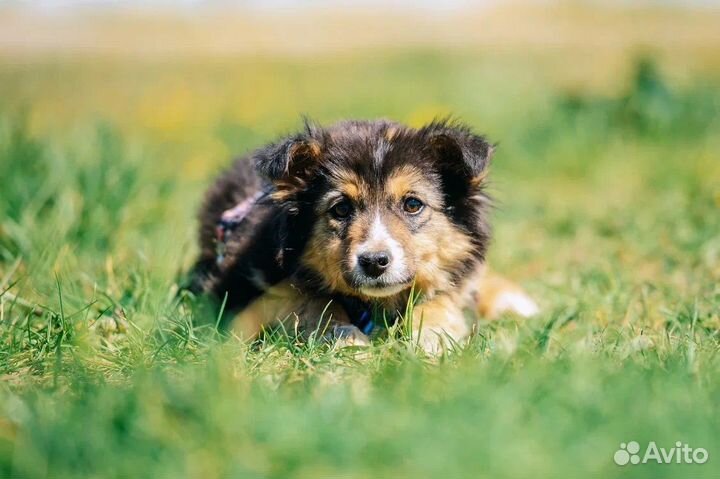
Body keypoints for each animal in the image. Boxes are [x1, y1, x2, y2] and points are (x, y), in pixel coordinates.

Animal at [188, 118, 536, 354]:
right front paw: (349, 341)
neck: (376, 304)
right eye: (341, 209)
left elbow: (440, 298)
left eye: (413, 204)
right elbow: (312, 300)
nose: (374, 262)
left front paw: (430, 339)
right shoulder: (244, 288)